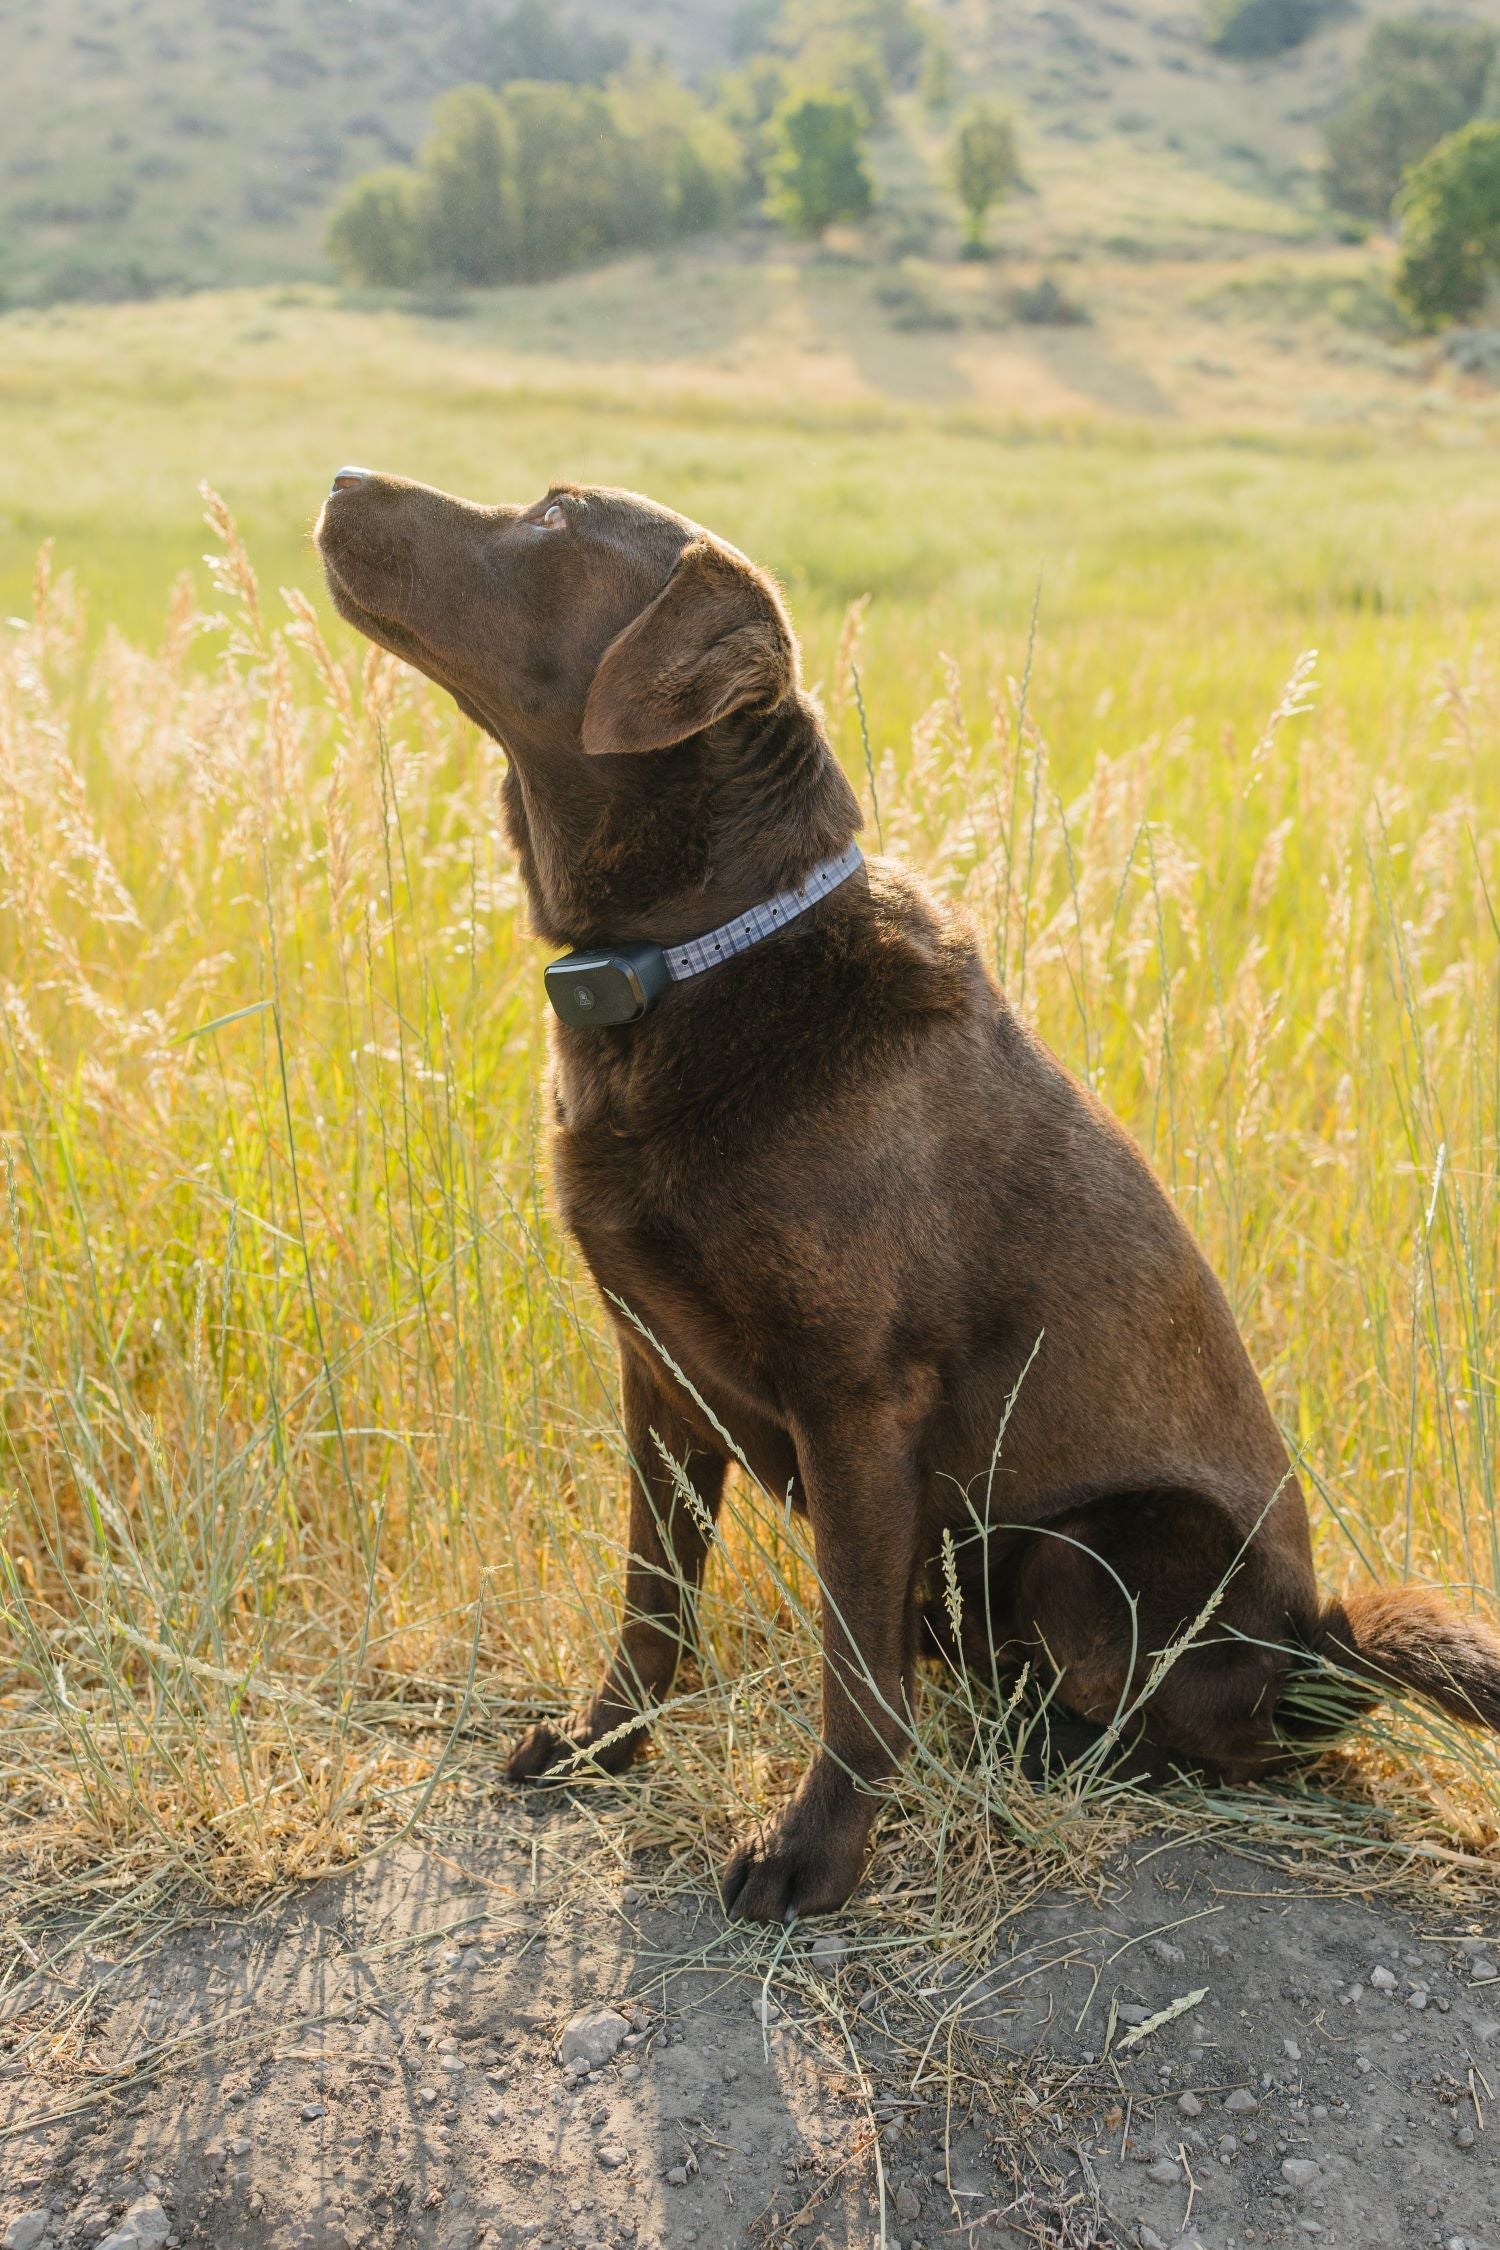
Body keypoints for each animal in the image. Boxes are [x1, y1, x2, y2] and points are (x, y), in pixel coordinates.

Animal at [319, 470, 1500, 1917]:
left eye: (552, 518)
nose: (340, 480)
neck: (695, 957)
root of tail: (1319, 1649)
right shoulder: (655, 1370)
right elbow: (653, 1601)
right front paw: (605, 1745)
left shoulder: (858, 1402)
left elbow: (851, 1668)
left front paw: (813, 1857)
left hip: (1091, 1551)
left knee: (1199, 1735)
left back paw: (1052, 1754)